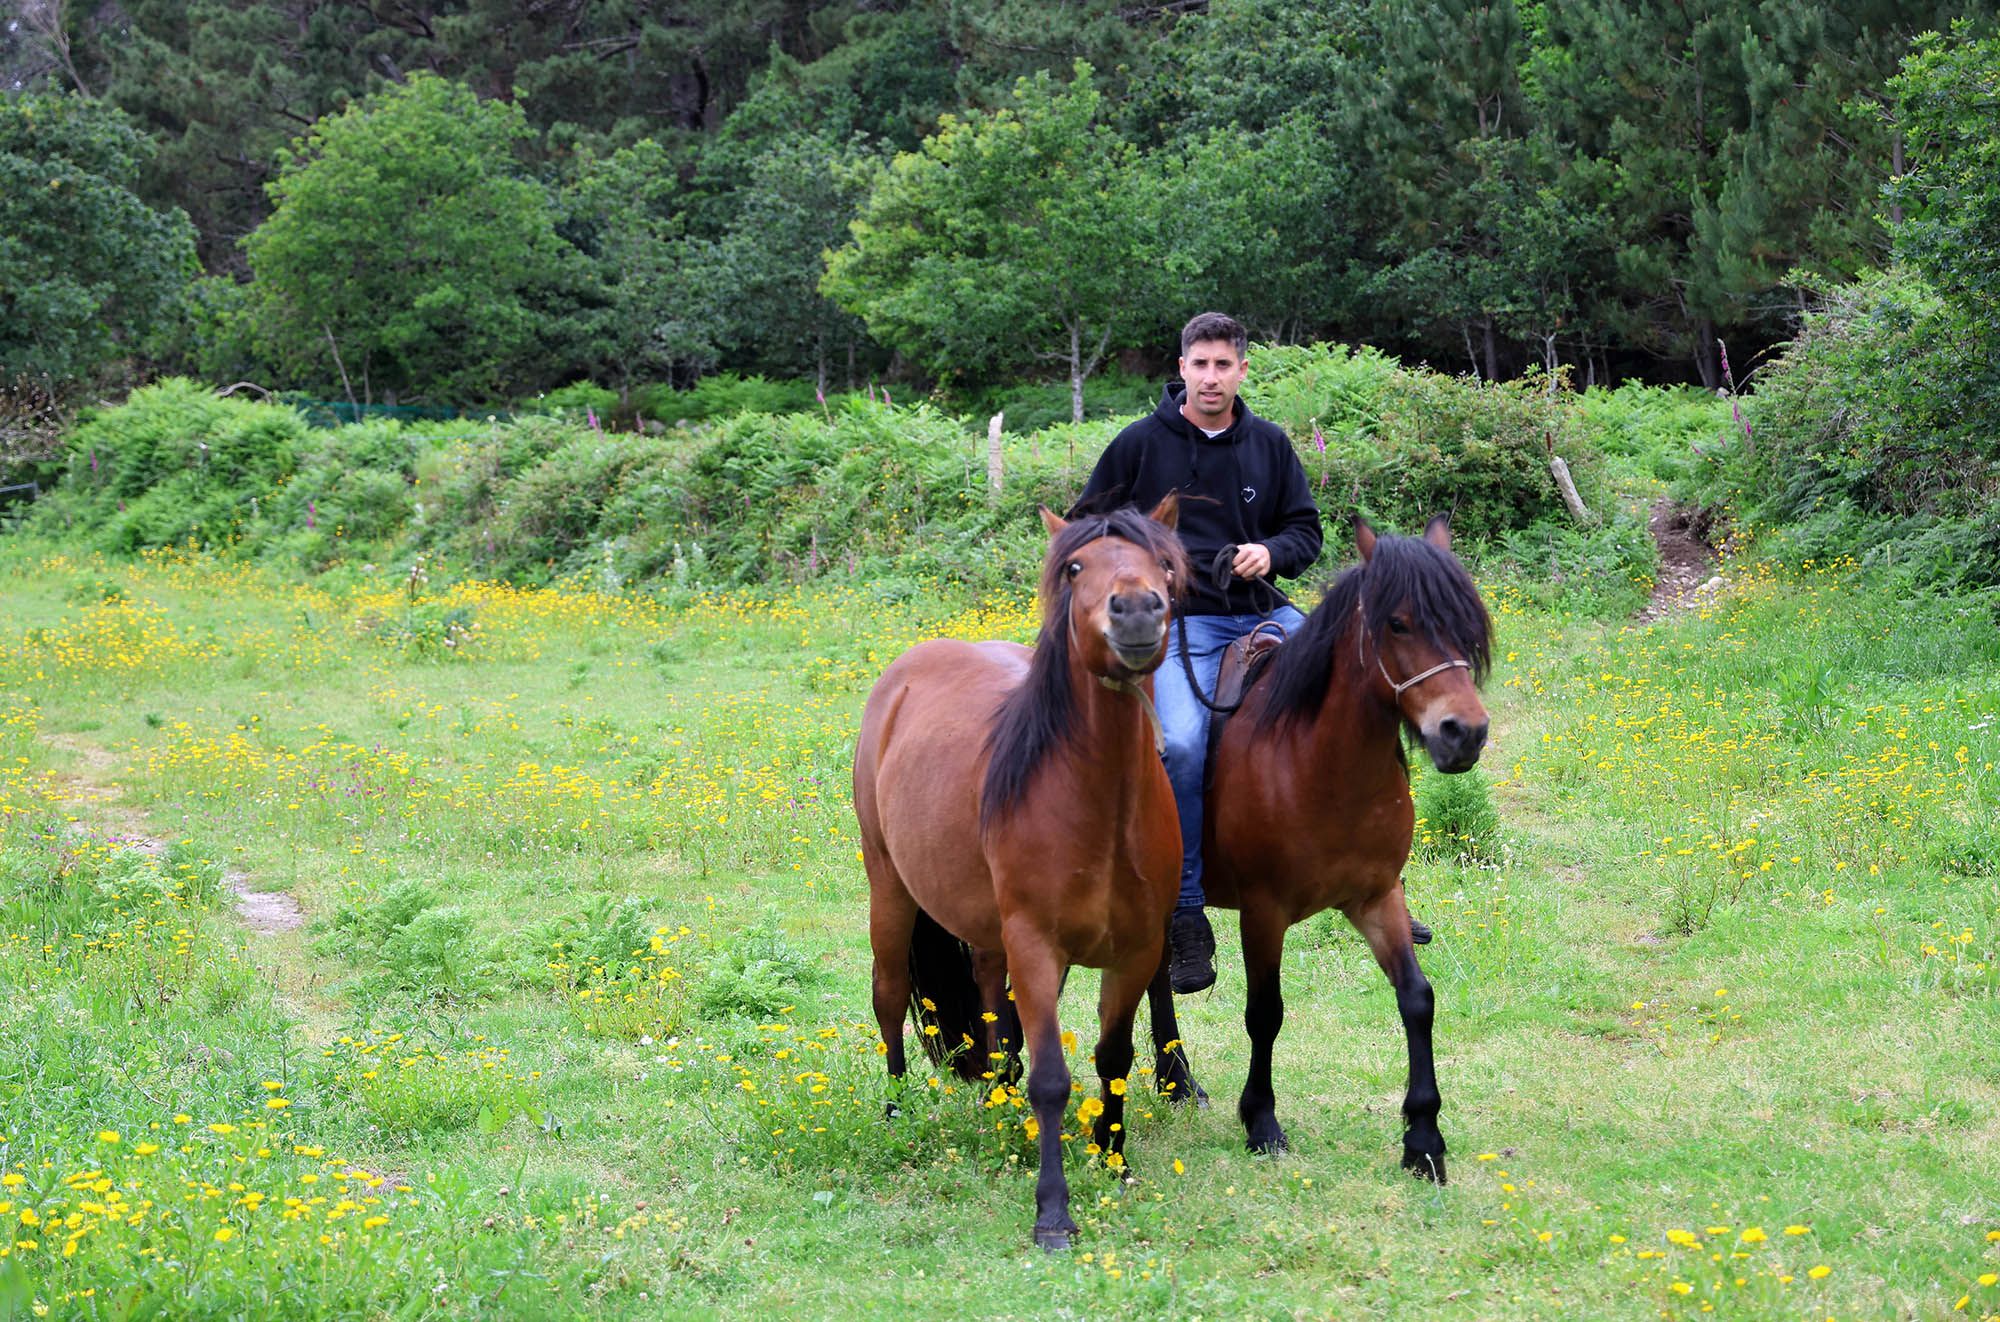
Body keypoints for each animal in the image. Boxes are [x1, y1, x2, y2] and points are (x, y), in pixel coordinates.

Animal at [856, 496, 1184, 1248]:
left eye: (1165, 563)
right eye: (1075, 567)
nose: (1136, 610)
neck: (1100, 806)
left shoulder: (1137, 950)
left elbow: (1114, 1060)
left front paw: (1114, 1160)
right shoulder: (1036, 945)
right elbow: (1053, 1079)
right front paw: (1053, 1212)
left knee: (983, 988)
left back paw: (999, 1097)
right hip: (888, 887)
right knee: (889, 997)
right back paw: (896, 1113)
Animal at [1152, 512, 1496, 1176]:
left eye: (1467, 625)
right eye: (1397, 623)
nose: (1463, 733)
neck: (1317, 764)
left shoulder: (1377, 898)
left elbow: (1417, 998)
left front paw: (1423, 1138)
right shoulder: (1264, 913)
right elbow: (1266, 1014)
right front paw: (1261, 1121)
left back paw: (1174, 1081)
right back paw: (1176, 1079)